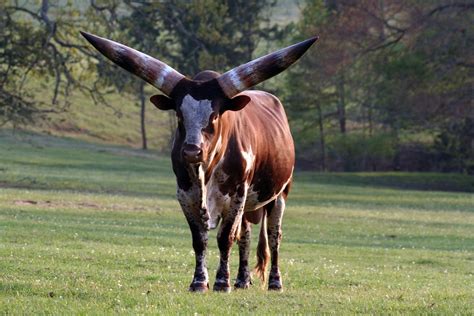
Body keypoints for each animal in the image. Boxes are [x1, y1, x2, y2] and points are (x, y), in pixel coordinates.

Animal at [81, 30, 318, 292]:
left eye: (214, 116)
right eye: (179, 114)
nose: (192, 152)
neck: (207, 170)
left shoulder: (237, 193)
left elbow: (225, 238)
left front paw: (221, 282)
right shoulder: (186, 193)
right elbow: (199, 239)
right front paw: (199, 281)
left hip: (280, 194)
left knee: (274, 236)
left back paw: (275, 282)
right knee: (245, 236)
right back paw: (242, 280)